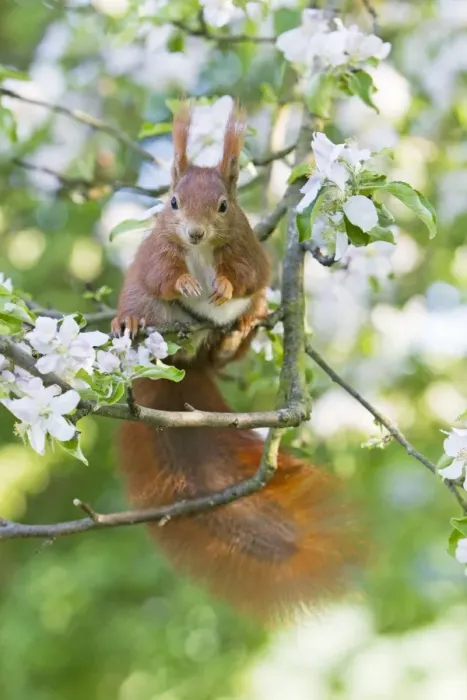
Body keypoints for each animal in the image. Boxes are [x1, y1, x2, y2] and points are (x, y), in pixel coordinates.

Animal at [112, 103, 360, 622]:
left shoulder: (247, 251)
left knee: (242, 320)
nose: (195, 231)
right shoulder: (159, 253)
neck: (202, 251)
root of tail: (186, 362)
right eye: (172, 202)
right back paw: (129, 321)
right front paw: (187, 284)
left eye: (224, 205)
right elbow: (164, 274)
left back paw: (239, 332)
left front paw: (222, 288)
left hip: (248, 312)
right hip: (146, 304)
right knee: (144, 304)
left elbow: (245, 275)